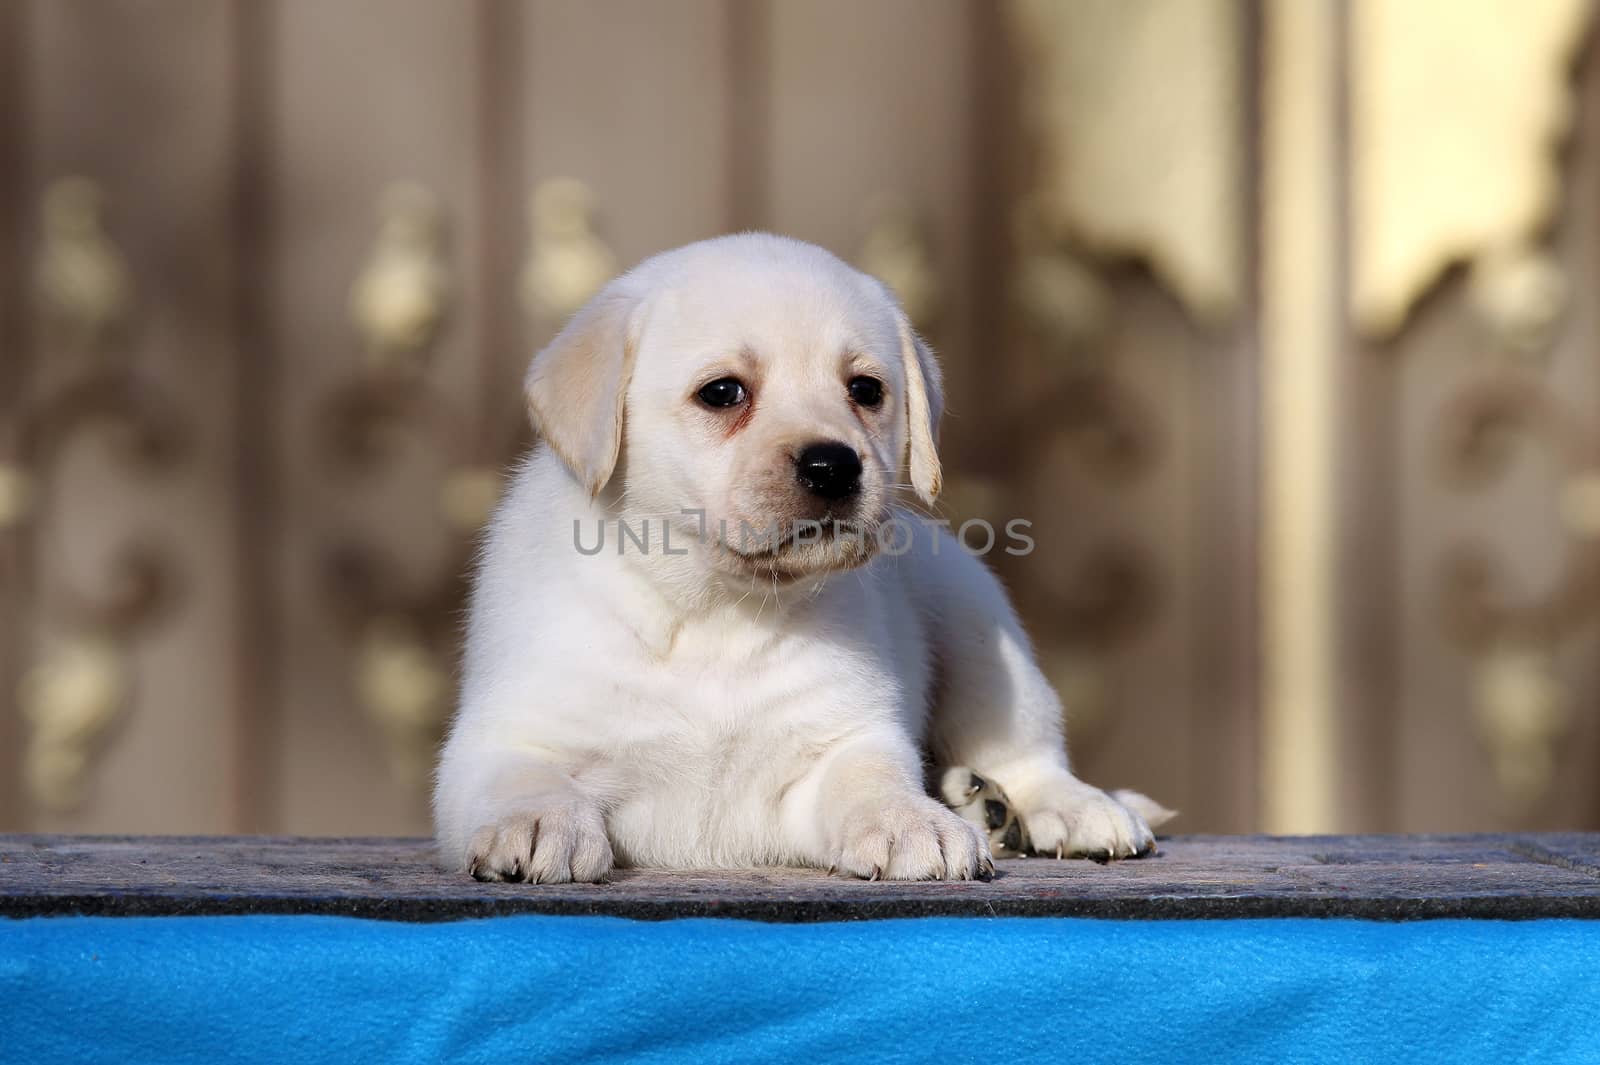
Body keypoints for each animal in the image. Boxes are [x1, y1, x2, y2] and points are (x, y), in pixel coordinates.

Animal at [435, 236, 1164, 882]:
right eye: (722, 392)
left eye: (866, 390)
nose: (834, 466)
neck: (716, 609)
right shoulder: (503, 738)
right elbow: (526, 777)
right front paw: (537, 822)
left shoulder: (842, 741)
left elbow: (874, 780)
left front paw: (912, 821)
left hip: (981, 629)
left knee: (1028, 751)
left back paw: (1054, 808)